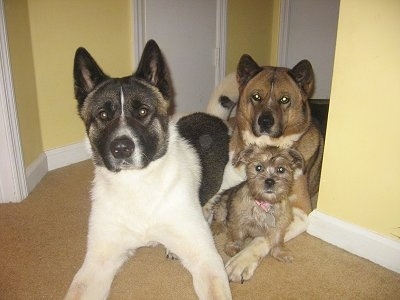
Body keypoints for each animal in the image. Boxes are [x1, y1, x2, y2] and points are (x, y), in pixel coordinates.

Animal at [65, 39, 231, 300]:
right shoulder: (97, 262)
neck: (136, 184)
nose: (121, 148)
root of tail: (213, 117)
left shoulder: (206, 258)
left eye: (143, 111)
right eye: (103, 114)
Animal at [205, 55, 324, 282]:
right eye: (256, 96)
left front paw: (241, 261)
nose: (265, 121)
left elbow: (264, 237)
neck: (266, 149)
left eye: (284, 99)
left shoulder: (300, 213)